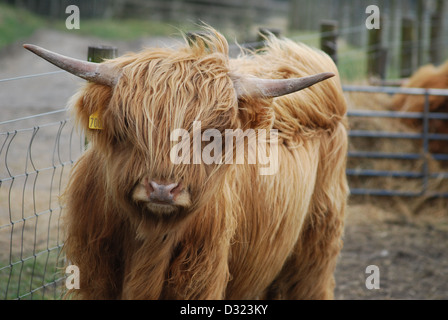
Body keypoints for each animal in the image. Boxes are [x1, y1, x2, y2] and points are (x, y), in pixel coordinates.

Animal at [23, 28, 350, 300]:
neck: (150, 239)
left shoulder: (199, 278)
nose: (162, 189)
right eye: (128, 124)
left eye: (212, 135)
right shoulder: (94, 276)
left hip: (318, 240)